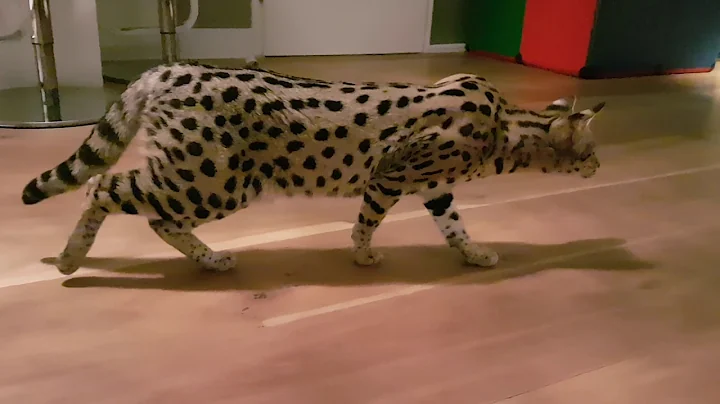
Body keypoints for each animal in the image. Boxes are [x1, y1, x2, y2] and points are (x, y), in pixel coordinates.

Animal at [21, 62, 606, 275]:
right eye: (593, 151)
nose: (600, 167)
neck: (506, 125)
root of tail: (164, 69)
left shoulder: (433, 186)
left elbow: (455, 226)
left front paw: (476, 254)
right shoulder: (392, 174)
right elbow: (368, 221)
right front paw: (363, 254)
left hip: (205, 182)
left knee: (157, 218)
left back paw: (210, 259)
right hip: (212, 181)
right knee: (102, 185)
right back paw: (70, 259)